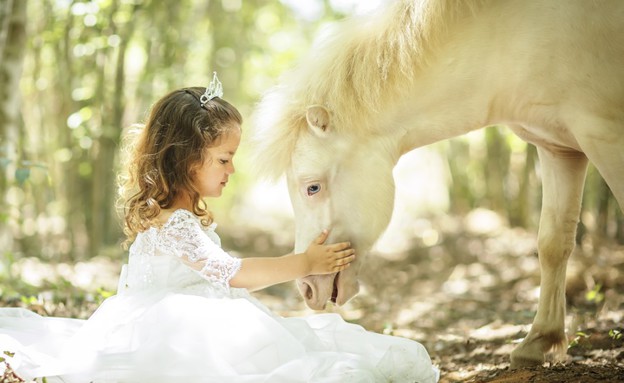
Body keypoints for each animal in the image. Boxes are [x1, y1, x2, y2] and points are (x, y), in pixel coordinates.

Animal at [252, 0, 624, 370]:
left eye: (312, 188)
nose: (306, 289)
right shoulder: (559, 150)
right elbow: (553, 244)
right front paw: (539, 342)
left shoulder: (605, 136)